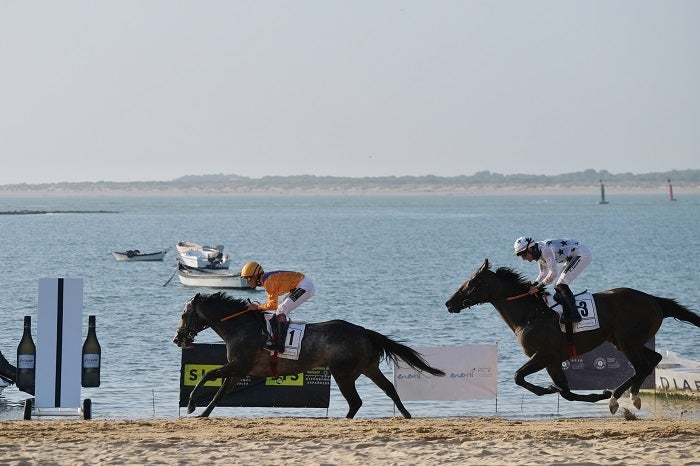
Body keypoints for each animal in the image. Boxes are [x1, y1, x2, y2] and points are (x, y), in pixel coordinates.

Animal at [173, 292, 442, 418]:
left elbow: (206, 376)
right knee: (388, 388)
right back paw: (406, 415)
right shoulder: (239, 370)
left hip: (343, 373)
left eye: (184, 315)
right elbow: (220, 393)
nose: (178, 339)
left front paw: (191, 405)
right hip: (368, 367)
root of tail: (363, 331)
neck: (241, 326)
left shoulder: (238, 365)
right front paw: (203, 414)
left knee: (356, 401)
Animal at [446, 258, 700, 416]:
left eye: (473, 282)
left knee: (641, 367)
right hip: (625, 341)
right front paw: (564, 390)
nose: (449, 303)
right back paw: (628, 396)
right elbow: (566, 393)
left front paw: (550, 390)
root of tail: (654, 300)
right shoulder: (553, 361)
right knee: (653, 360)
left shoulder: (544, 355)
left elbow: (519, 376)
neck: (531, 314)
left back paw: (616, 397)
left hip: (627, 341)